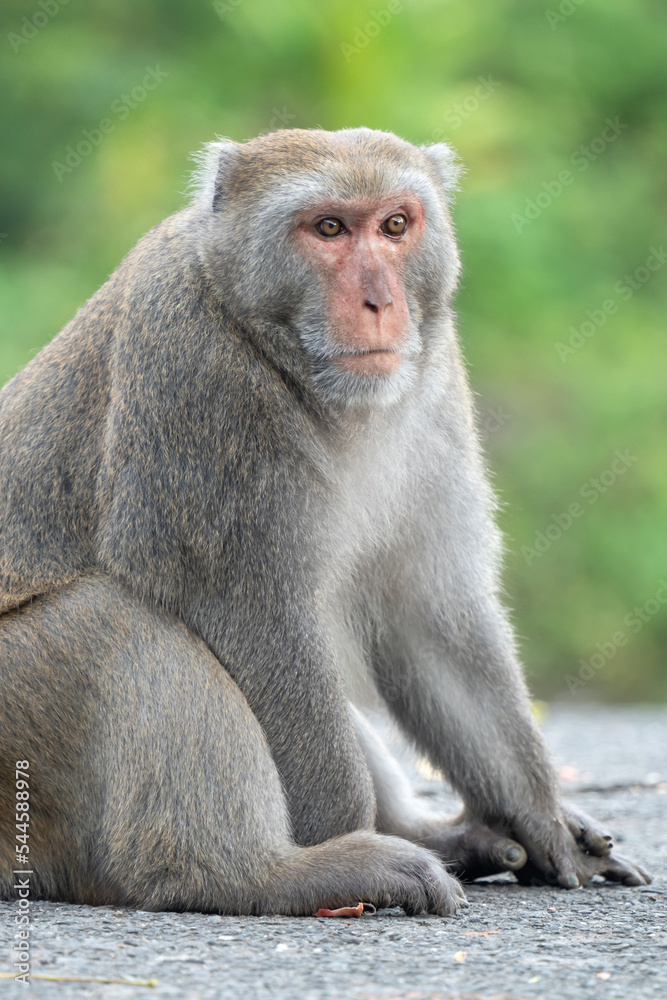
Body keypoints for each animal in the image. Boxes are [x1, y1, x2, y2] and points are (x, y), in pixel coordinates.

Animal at [0, 127, 648, 916]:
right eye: (329, 228)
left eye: (395, 225)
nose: (379, 301)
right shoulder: (195, 376)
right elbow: (254, 612)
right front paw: (338, 841)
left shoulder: (432, 378)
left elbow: (427, 613)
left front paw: (540, 816)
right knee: (107, 623)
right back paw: (261, 873)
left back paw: (442, 837)